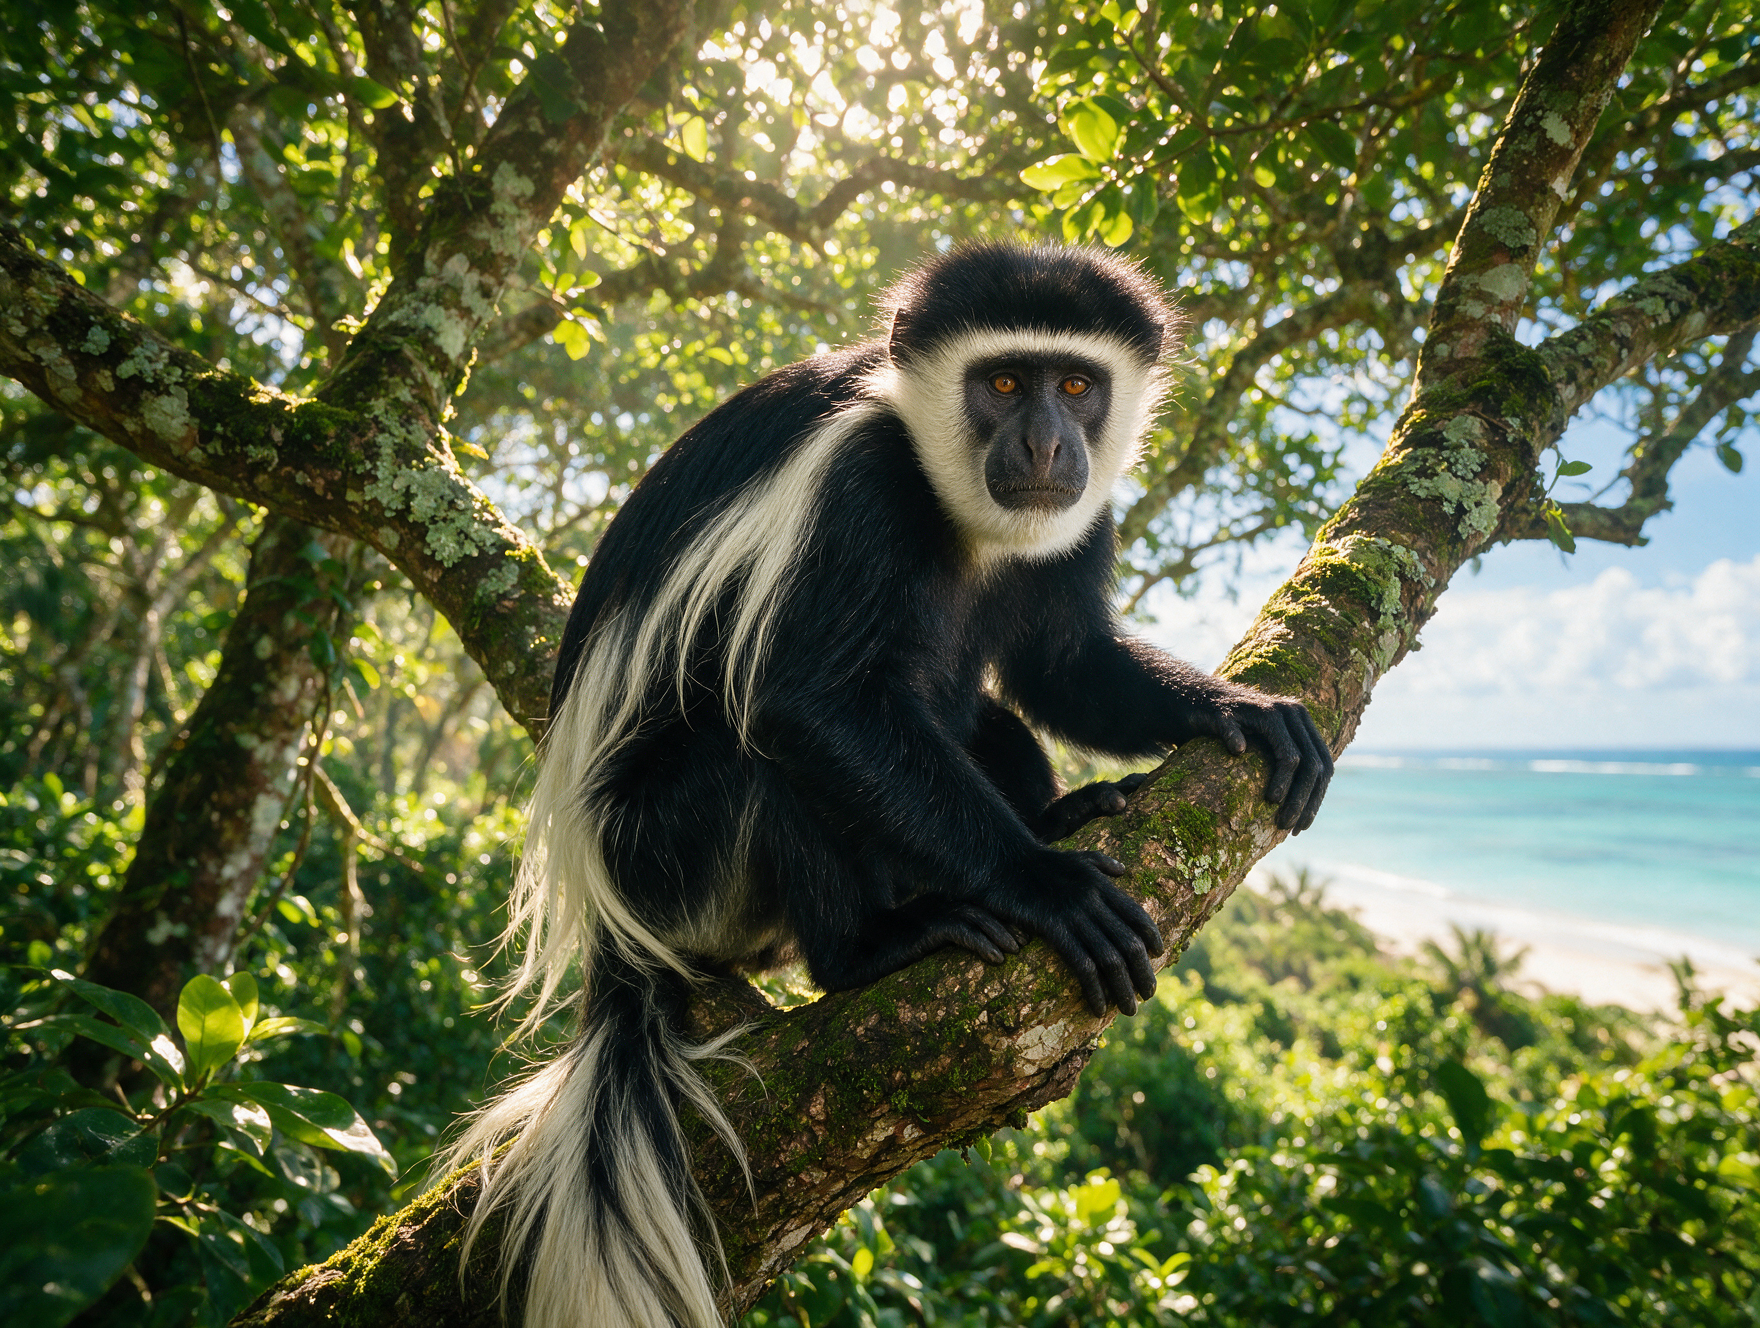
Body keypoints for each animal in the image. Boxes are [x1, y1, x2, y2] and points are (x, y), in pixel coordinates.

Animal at [441, 243, 1333, 1328]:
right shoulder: (856, 482)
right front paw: (1045, 886)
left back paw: (1057, 816)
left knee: (986, 722)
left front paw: (1234, 709)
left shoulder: (1083, 512)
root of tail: (615, 930)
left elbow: (1066, 667)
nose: (1045, 444)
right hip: (674, 859)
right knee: (760, 752)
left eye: (1077, 386)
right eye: (1003, 384)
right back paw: (878, 943)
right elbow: (807, 702)